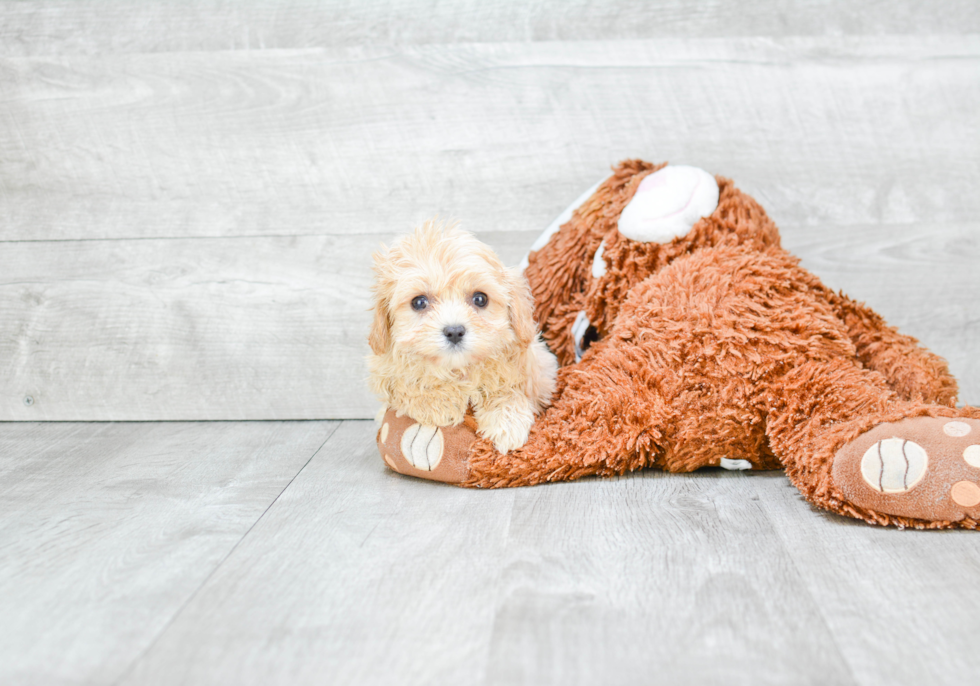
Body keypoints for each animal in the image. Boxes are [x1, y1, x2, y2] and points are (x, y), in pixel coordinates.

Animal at [366, 222, 556, 456]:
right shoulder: (387, 370)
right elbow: (409, 384)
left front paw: (507, 424)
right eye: (419, 302)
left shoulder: (538, 367)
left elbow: (508, 388)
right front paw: (442, 403)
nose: (454, 331)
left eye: (480, 299)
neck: (459, 369)